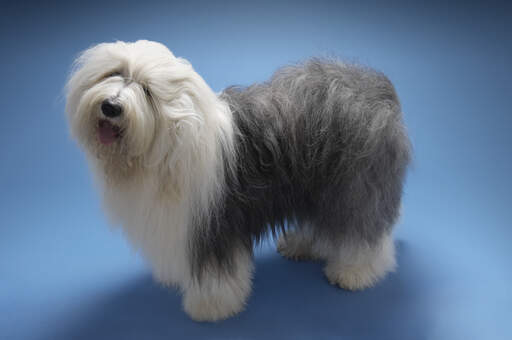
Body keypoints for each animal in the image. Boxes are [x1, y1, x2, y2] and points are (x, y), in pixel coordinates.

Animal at [66, 39, 410, 322]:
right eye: (114, 73)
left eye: (147, 90)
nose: (111, 106)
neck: (167, 148)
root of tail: (373, 82)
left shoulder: (213, 226)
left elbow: (215, 274)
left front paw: (210, 307)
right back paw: (301, 244)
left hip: (354, 184)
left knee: (363, 228)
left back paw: (356, 271)